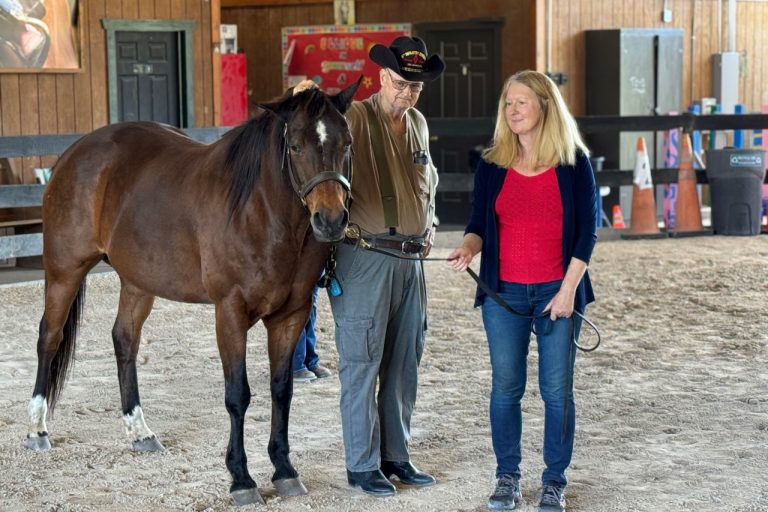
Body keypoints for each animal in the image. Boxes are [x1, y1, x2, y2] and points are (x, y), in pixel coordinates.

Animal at [24, 79, 360, 506]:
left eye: (347, 142)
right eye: (296, 145)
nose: (330, 220)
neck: (260, 210)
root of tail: (74, 153)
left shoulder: (291, 315)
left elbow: (281, 391)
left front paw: (284, 470)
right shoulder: (229, 312)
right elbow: (238, 395)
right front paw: (241, 479)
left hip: (138, 282)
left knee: (124, 340)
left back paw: (140, 432)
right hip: (64, 270)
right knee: (49, 338)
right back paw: (37, 429)